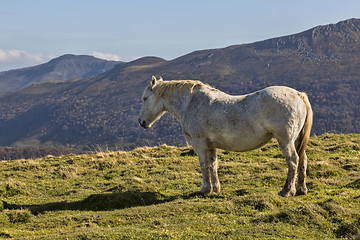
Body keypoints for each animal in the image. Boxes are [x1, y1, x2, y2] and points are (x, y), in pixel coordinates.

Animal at [139, 76, 312, 197]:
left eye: (145, 98)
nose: (142, 122)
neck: (190, 103)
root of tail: (298, 94)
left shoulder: (199, 144)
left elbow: (204, 166)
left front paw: (205, 189)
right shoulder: (211, 146)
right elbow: (213, 165)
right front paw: (215, 189)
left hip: (285, 140)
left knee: (293, 161)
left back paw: (286, 191)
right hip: (295, 140)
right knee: (302, 159)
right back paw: (301, 189)